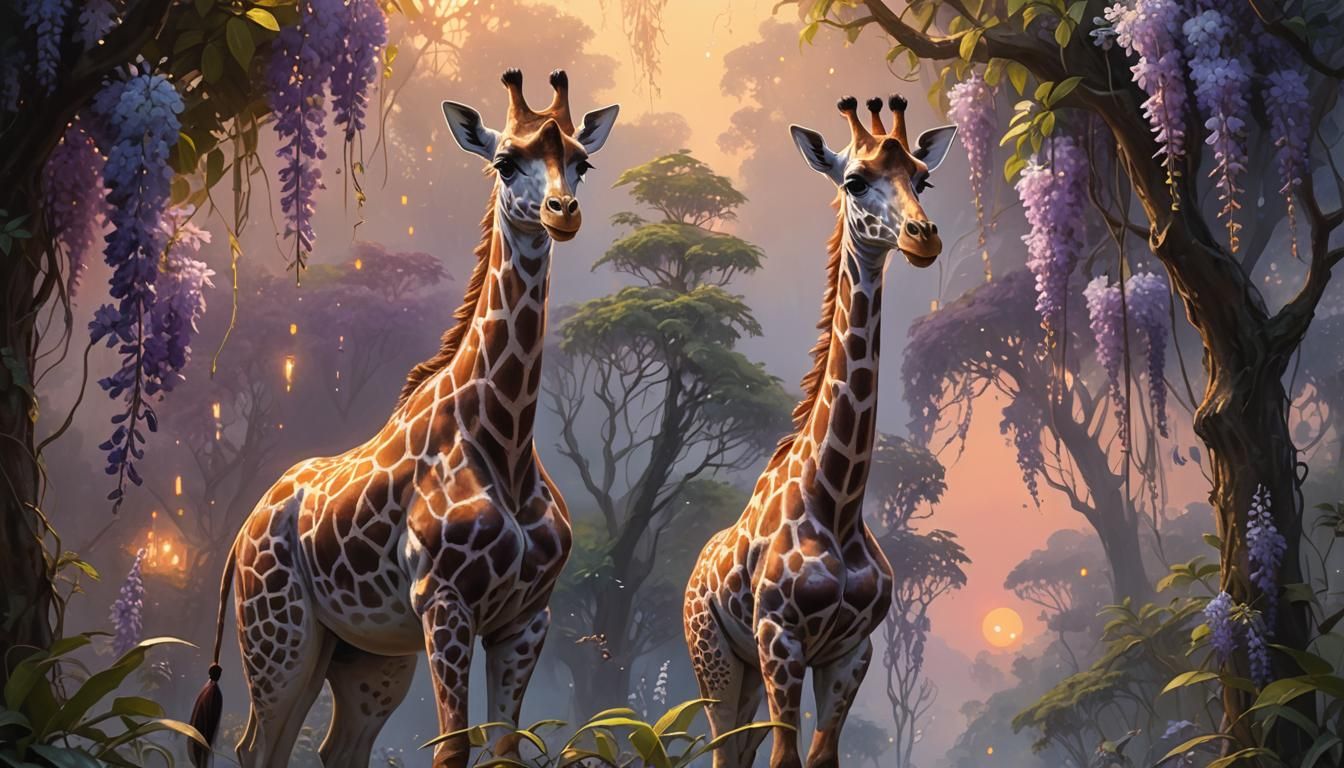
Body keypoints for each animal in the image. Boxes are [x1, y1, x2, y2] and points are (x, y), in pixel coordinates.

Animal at [187, 69, 619, 768]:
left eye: (583, 162)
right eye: (504, 162)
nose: (562, 213)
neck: (506, 441)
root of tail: (243, 529)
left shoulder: (526, 619)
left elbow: (504, 750)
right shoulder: (445, 603)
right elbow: (450, 750)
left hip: (362, 652)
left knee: (332, 747)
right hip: (277, 630)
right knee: (256, 745)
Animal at [682, 95, 956, 768]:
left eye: (923, 178)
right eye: (854, 181)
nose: (924, 237)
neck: (837, 502)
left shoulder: (851, 650)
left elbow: (822, 756)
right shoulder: (781, 637)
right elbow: (787, 759)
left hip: (748, 679)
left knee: (740, 750)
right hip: (716, 661)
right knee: (723, 749)